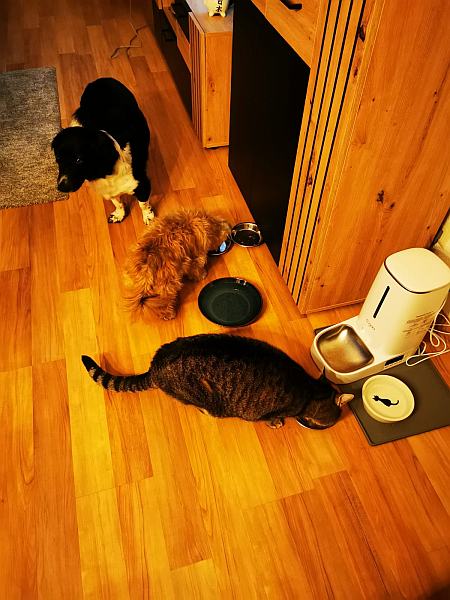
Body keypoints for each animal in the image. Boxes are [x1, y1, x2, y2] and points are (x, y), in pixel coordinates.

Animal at [51, 77, 153, 224]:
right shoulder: (109, 191)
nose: (61, 187)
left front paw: (148, 217)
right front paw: (119, 215)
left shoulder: (142, 184)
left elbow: (143, 204)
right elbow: (117, 202)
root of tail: (100, 80)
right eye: (58, 159)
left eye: (79, 160)